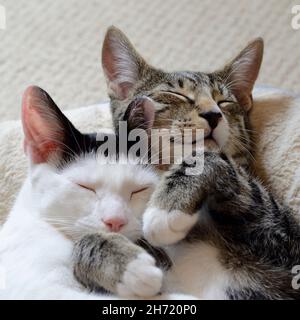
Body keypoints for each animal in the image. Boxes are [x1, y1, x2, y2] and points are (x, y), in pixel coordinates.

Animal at [72, 26, 300, 298]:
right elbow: (83, 242)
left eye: (225, 101)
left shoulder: (286, 243)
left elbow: (207, 156)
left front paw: (167, 208)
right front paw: (126, 265)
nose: (214, 114)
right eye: (175, 94)